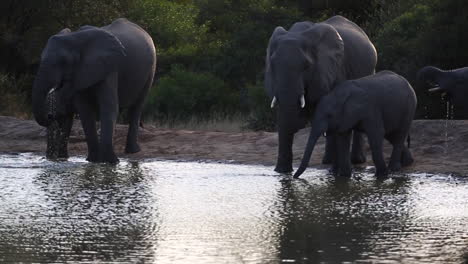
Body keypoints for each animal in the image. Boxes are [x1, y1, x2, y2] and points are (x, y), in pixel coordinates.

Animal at [33, 18, 157, 163]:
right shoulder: (80, 73)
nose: (50, 116)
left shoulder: (109, 66)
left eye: (64, 61)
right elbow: (85, 110)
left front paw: (110, 162)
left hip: (150, 70)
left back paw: (132, 151)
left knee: (137, 107)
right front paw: (93, 161)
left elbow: (108, 106)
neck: (76, 38)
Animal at [266, 16, 378, 173]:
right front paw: (282, 172)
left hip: (369, 70)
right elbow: (282, 117)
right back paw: (327, 161)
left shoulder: (335, 68)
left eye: (306, 66)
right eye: (273, 64)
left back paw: (355, 161)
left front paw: (336, 172)